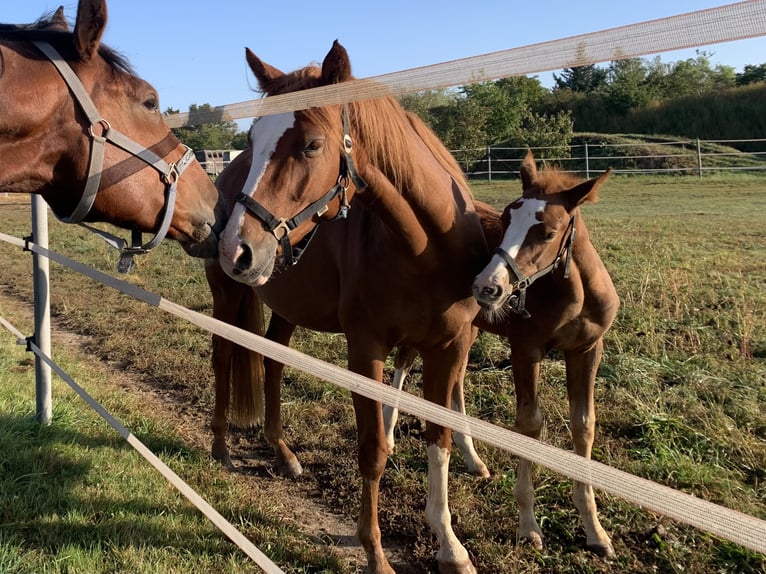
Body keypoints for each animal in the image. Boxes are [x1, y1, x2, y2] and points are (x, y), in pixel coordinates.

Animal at [207, 42, 488, 572]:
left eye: (312, 145)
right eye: (253, 140)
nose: (235, 247)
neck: (426, 247)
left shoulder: (449, 348)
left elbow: (439, 440)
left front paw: (450, 545)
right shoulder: (366, 351)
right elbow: (373, 449)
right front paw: (375, 552)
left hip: (284, 305)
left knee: (272, 362)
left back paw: (284, 453)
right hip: (226, 297)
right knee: (222, 358)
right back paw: (220, 448)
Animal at [390, 153, 616, 560]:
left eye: (547, 233)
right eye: (508, 218)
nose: (487, 286)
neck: (574, 293)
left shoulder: (588, 349)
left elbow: (584, 425)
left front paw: (596, 530)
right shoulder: (526, 349)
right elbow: (529, 424)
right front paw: (528, 525)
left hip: (468, 328)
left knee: (455, 383)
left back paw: (473, 459)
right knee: (403, 364)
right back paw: (388, 435)